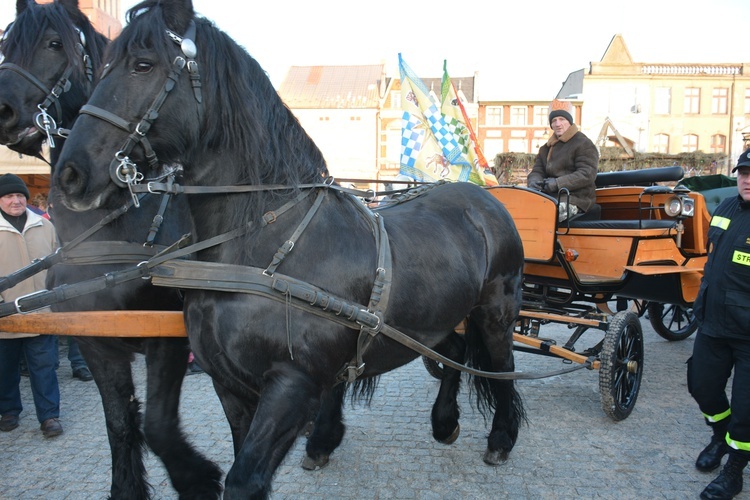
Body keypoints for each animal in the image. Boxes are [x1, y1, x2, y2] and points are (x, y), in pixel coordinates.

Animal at [0, 1, 223, 498]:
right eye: (5, 45)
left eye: (54, 44)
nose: (0, 109)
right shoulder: (95, 337)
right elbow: (121, 423)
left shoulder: (166, 335)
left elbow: (157, 425)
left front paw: (198, 476)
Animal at [53, 0, 524, 494]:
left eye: (142, 65)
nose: (70, 173)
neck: (264, 247)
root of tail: (483, 197)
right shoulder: (230, 385)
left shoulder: (291, 385)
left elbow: (244, 479)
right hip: (431, 320)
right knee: (452, 352)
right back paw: (444, 421)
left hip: (496, 310)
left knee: (502, 367)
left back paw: (501, 438)